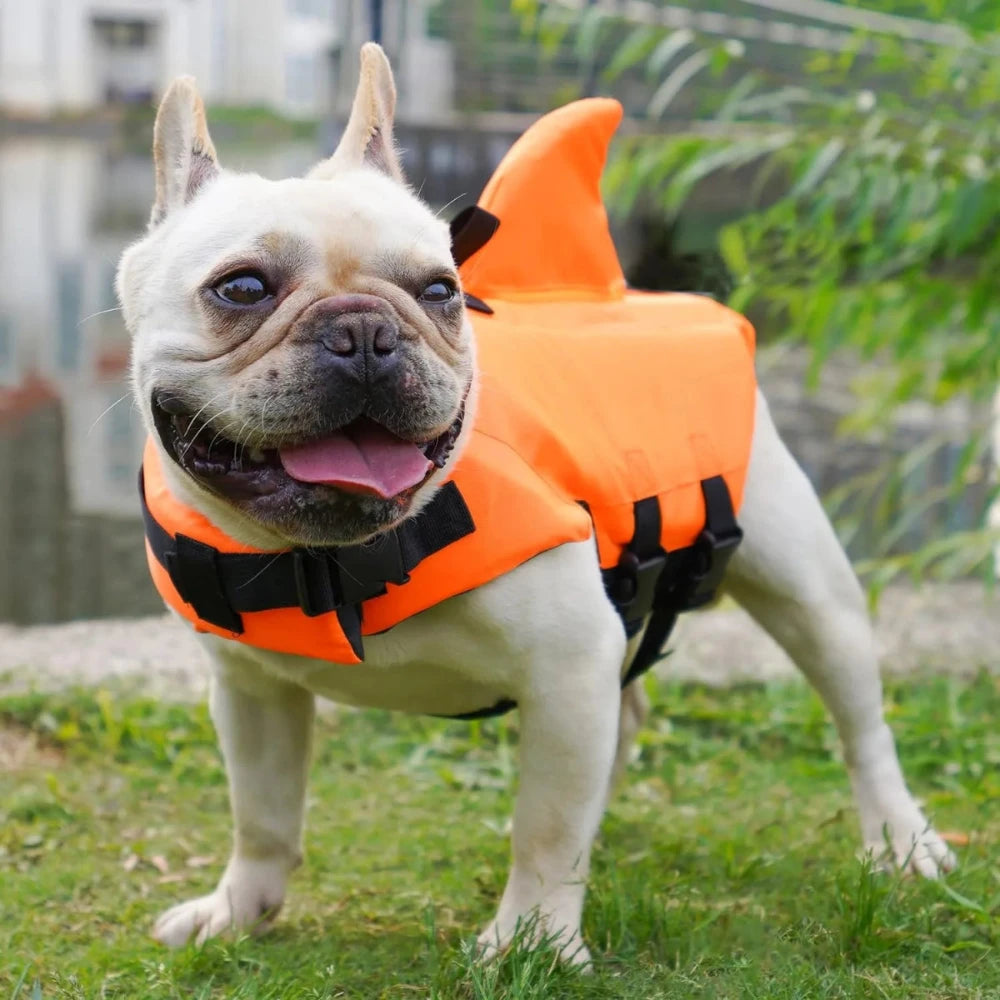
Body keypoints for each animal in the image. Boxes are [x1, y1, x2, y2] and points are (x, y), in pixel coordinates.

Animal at [115, 45, 952, 960]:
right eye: (241, 289)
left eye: (441, 292)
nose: (366, 331)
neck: (332, 563)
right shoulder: (251, 693)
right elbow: (261, 814)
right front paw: (239, 909)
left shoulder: (567, 667)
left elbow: (545, 827)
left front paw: (534, 941)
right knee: (624, 722)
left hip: (806, 588)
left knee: (859, 721)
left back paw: (902, 840)